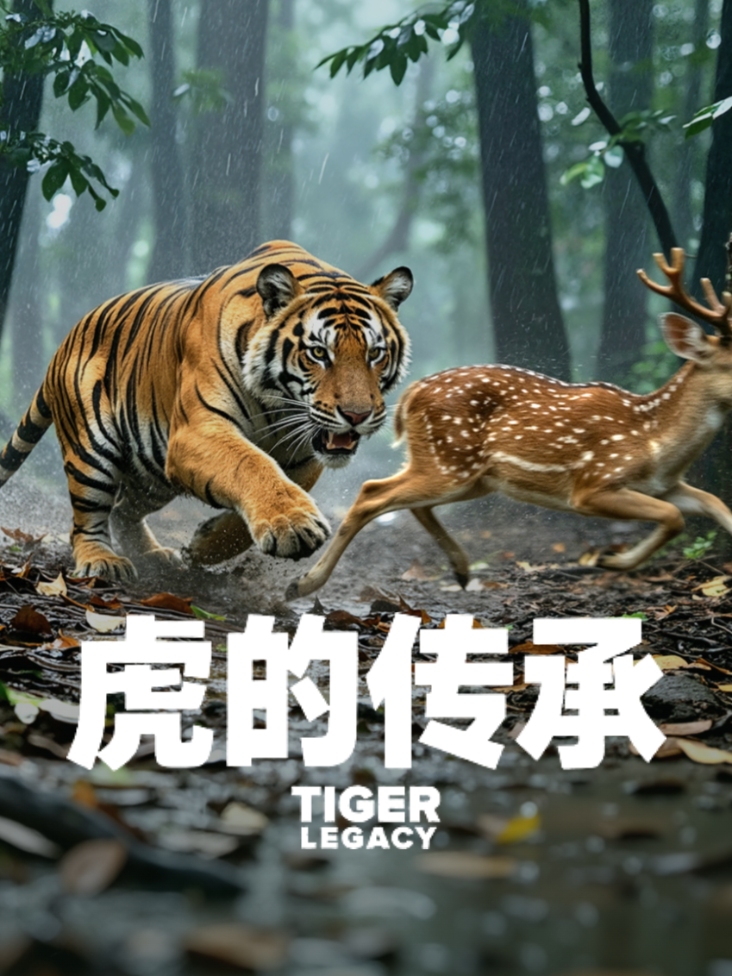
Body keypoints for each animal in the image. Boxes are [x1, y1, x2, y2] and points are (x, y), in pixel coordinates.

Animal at [0, 240, 413, 581]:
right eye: (318, 353)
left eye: (375, 353)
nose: (357, 415)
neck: (278, 408)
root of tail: (65, 343)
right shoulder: (197, 431)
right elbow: (251, 464)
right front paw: (293, 525)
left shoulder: (302, 455)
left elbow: (274, 485)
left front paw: (205, 545)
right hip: (91, 451)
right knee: (87, 519)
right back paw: (103, 561)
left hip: (153, 473)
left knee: (122, 509)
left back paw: (155, 555)